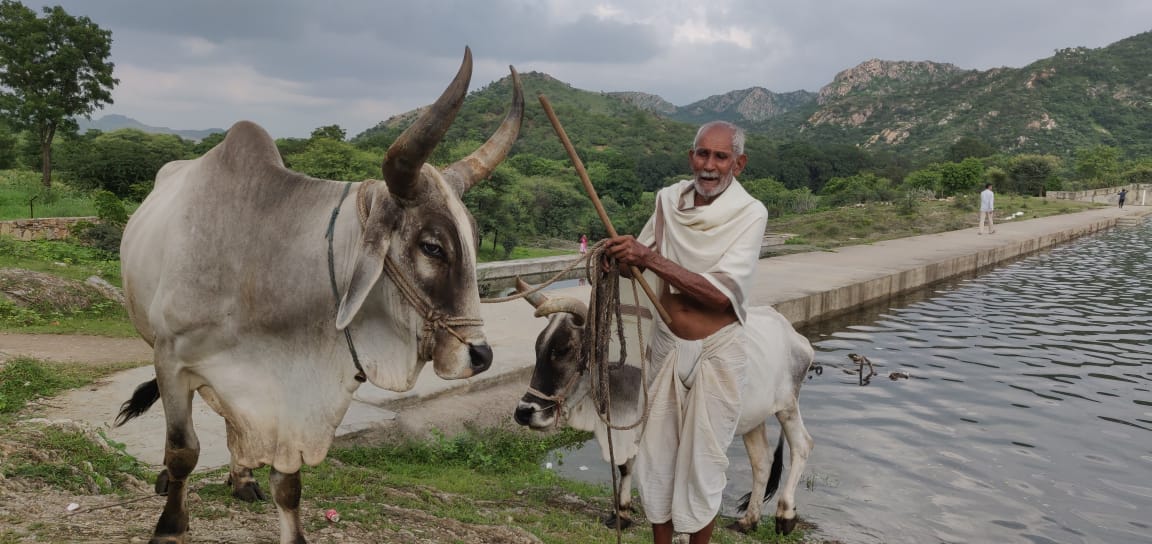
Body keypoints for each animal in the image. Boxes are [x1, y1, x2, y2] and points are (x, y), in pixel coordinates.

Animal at [113, 47, 523, 544]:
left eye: (475, 239)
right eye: (432, 246)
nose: (480, 355)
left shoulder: (288, 402)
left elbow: (286, 482)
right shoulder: (173, 361)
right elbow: (183, 451)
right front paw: (170, 525)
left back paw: (241, 477)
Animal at [513, 280, 820, 534]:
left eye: (563, 349)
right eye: (539, 347)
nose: (523, 412)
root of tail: (794, 336)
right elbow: (625, 466)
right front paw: (622, 513)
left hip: (788, 405)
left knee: (802, 445)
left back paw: (785, 515)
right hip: (753, 418)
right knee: (762, 462)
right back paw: (748, 521)